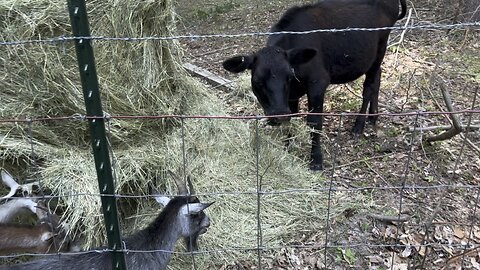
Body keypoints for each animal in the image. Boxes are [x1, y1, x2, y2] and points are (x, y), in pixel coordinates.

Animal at [223, 0, 406, 170]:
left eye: (289, 77)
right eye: (257, 81)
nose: (279, 114)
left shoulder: (317, 83)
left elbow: (315, 122)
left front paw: (316, 160)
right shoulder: (291, 96)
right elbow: (292, 119)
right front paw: (287, 149)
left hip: (379, 49)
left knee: (369, 86)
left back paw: (359, 126)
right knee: (378, 78)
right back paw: (373, 116)